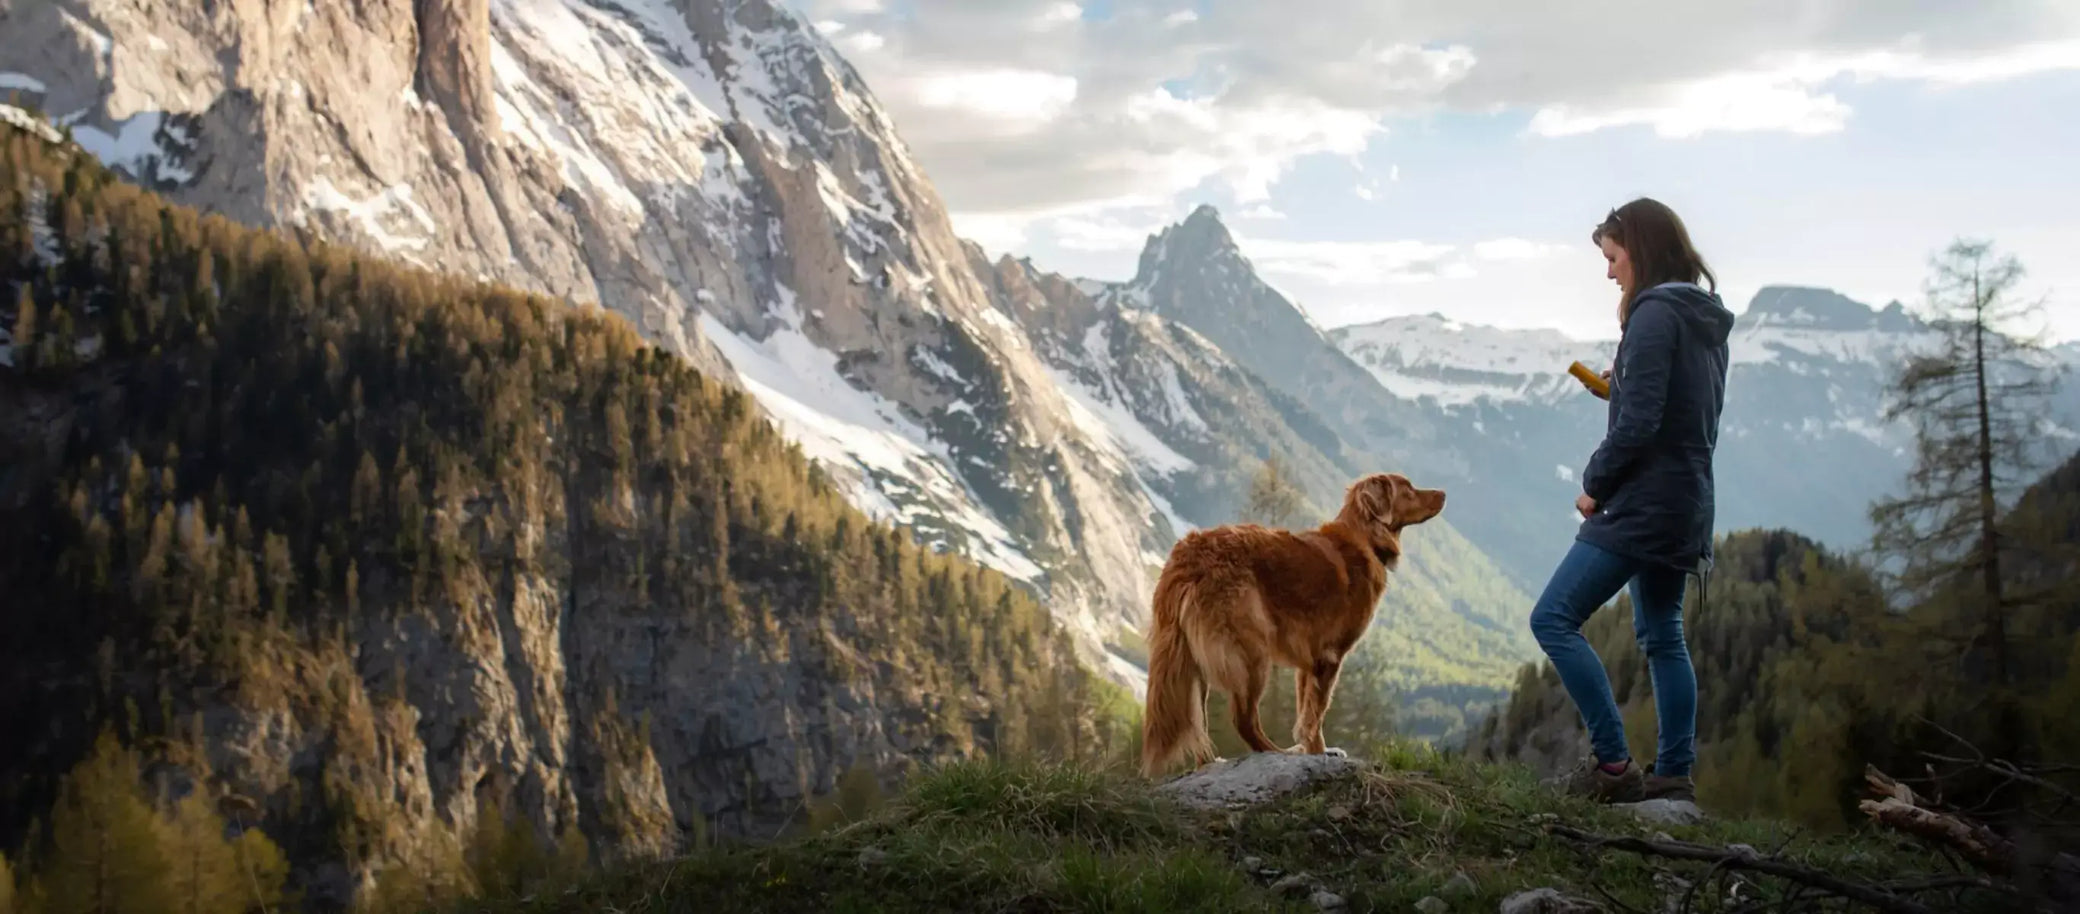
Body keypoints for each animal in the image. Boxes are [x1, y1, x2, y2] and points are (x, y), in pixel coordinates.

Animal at [1139, 472, 1447, 778]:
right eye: (1408, 489)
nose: (1443, 493)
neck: (1365, 536)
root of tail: (1189, 556)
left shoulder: (1308, 663)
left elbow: (1305, 711)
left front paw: (1315, 750)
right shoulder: (1329, 657)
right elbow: (1316, 715)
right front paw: (1318, 752)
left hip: (1192, 659)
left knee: (1197, 722)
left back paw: (1211, 762)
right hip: (1251, 653)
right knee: (1243, 719)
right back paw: (1280, 752)